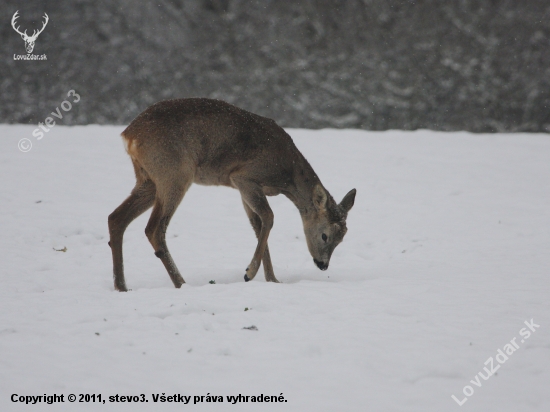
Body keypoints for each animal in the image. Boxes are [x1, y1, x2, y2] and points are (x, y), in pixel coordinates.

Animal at [108, 98, 358, 292]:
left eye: (343, 236)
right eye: (325, 235)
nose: (323, 265)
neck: (287, 173)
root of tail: (128, 135)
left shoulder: (243, 189)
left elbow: (258, 226)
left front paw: (272, 280)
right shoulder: (244, 177)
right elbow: (269, 217)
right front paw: (250, 273)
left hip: (148, 179)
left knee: (116, 218)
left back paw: (122, 286)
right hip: (174, 173)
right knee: (154, 228)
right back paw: (181, 283)